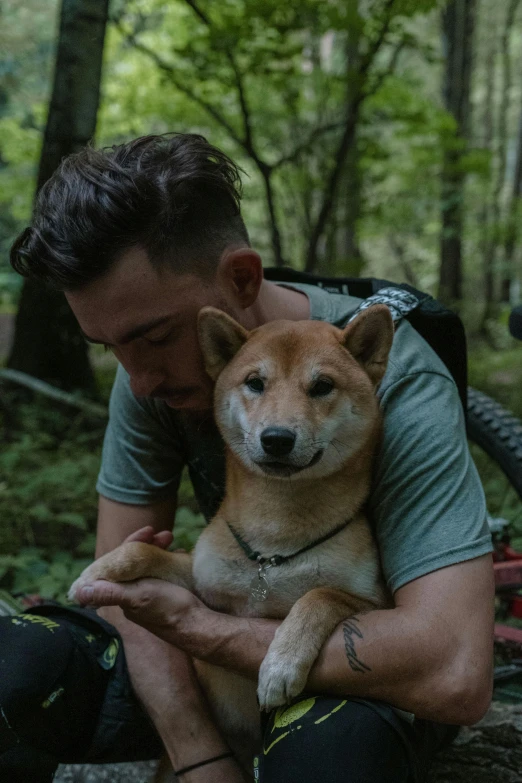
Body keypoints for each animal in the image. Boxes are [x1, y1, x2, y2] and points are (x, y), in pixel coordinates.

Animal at [70, 304, 394, 776]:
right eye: (255, 382)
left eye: (322, 386)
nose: (276, 438)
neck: (274, 541)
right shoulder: (203, 578)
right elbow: (144, 549)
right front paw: (96, 571)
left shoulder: (377, 603)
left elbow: (319, 596)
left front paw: (280, 665)